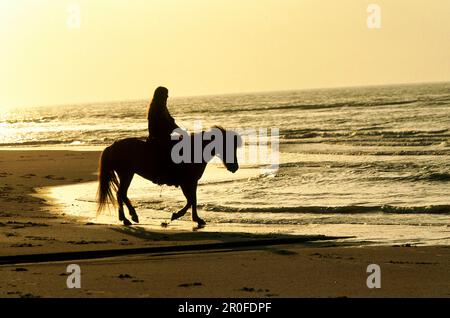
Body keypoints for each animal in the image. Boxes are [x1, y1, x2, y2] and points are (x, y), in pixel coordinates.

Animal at [96, 126, 241, 226]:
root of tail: (112, 146)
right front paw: (177, 215)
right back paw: (131, 217)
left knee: (121, 194)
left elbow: (193, 200)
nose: (235, 167)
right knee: (121, 194)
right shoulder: (186, 182)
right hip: (127, 174)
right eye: (227, 146)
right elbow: (191, 200)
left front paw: (197, 219)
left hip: (126, 174)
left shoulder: (191, 182)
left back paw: (126, 218)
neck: (194, 152)